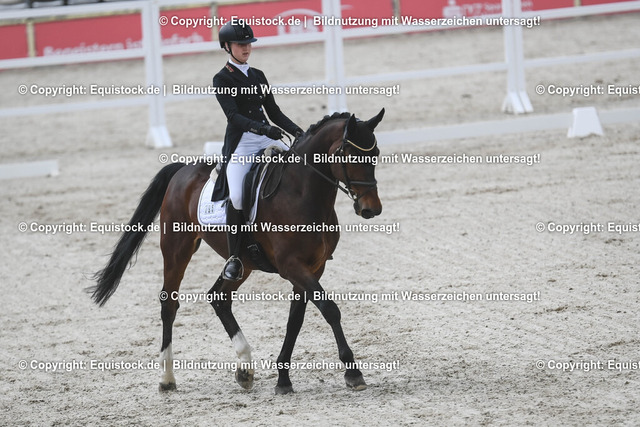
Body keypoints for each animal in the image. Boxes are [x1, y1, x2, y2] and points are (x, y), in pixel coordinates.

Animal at [89, 108, 385, 394]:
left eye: (376, 154)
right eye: (350, 155)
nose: (371, 209)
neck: (302, 193)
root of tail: (182, 170)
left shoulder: (313, 267)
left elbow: (295, 320)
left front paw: (283, 379)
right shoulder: (292, 266)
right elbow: (330, 309)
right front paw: (353, 373)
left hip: (244, 262)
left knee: (219, 297)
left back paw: (244, 369)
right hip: (176, 249)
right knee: (169, 304)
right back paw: (167, 379)